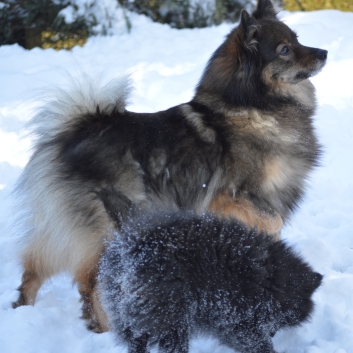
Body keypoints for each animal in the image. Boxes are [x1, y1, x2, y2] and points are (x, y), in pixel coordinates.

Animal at [98, 212, 322, 352]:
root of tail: (130, 252)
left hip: (132, 319)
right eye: (283, 319)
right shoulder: (235, 320)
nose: (273, 333)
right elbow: (258, 344)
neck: (269, 277)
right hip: (173, 321)